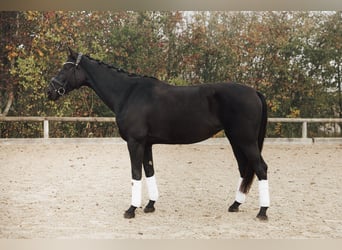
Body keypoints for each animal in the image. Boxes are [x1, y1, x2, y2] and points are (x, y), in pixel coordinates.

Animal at [46, 47, 270, 220]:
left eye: (66, 67)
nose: (50, 91)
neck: (128, 93)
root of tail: (255, 92)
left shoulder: (135, 142)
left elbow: (136, 173)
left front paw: (131, 209)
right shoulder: (146, 143)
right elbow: (149, 170)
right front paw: (150, 205)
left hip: (245, 140)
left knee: (260, 168)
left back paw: (262, 212)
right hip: (235, 140)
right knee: (244, 168)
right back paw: (235, 205)